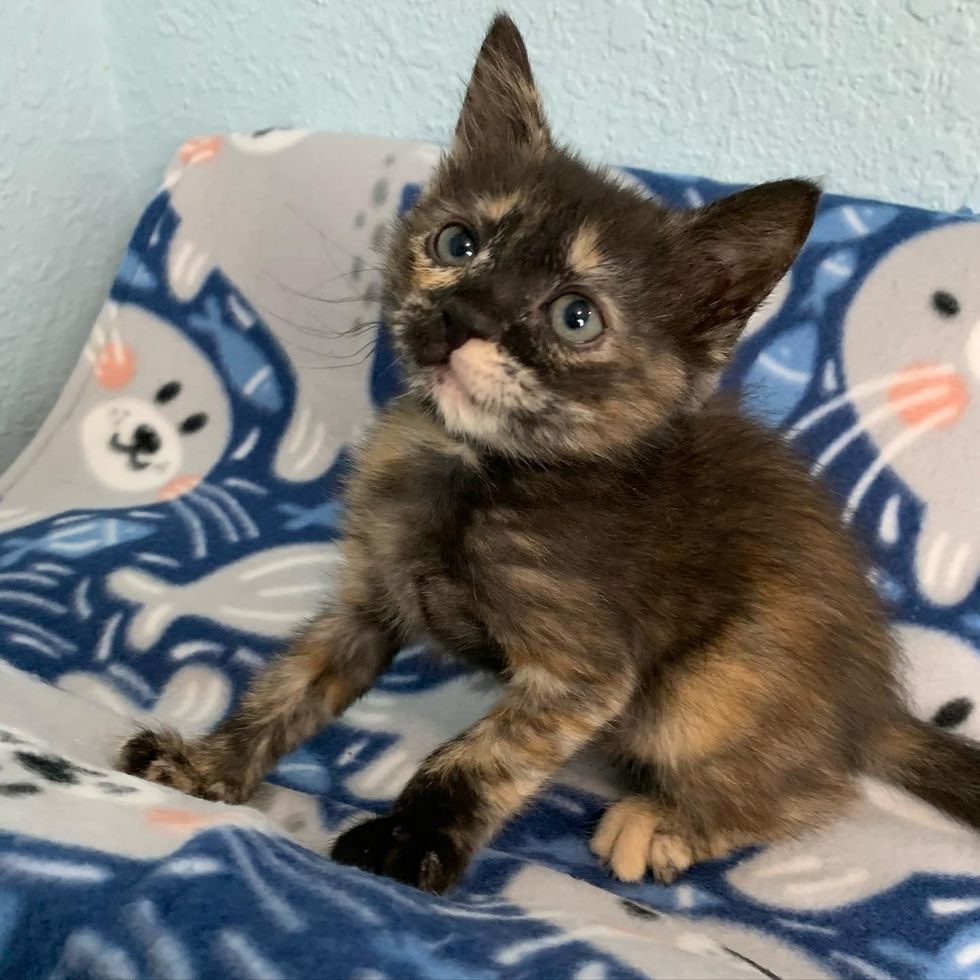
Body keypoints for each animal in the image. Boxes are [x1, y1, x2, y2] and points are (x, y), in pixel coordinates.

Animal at [117, 15, 980, 892]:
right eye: (458, 244)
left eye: (576, 317)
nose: (462, 314)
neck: (472, 467)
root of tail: (871, 706)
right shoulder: (366, 600)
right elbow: (290, 683)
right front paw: (207, 767)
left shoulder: (581, 674)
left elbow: (477, 756)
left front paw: (407, 842)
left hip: (714, 684)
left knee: (813, 790)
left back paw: (665, 823)